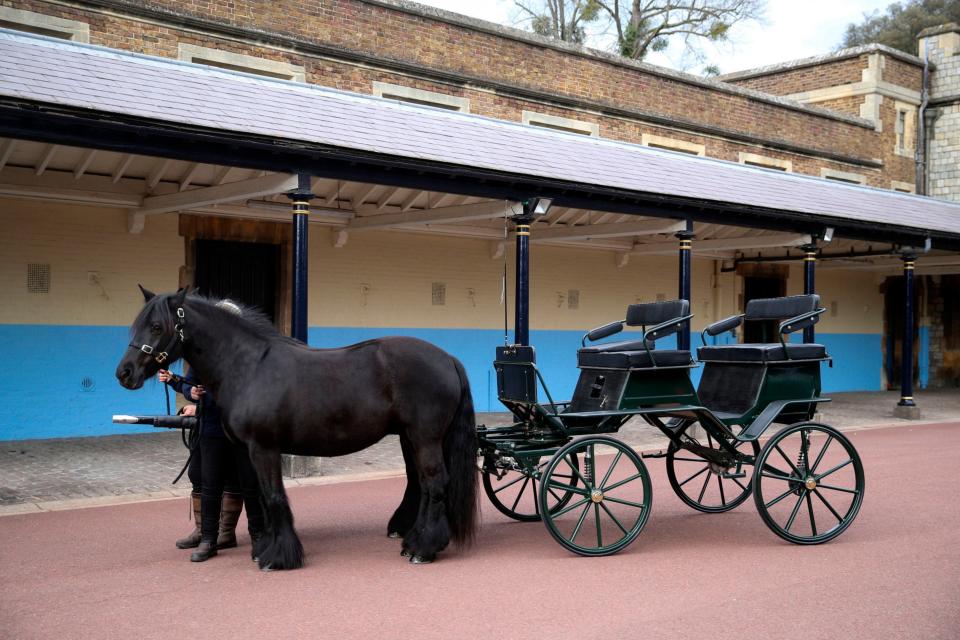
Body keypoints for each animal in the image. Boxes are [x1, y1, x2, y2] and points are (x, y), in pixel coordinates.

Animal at [115, 288, 480, 568]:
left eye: (157, 326)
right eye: (137, 326)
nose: (125, 373)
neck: (248, 366)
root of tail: (448, 359)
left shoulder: (264, 448)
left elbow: (275, 497)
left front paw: (279, 557)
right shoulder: (247, 451)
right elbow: (261, 499)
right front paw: (264, 548)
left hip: (425, 438)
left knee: (435, 485)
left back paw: (423, 549)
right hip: (410, 438)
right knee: (420, 485)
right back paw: (412, 540)